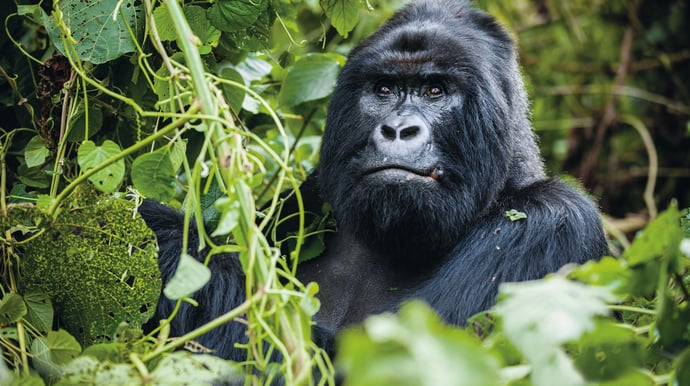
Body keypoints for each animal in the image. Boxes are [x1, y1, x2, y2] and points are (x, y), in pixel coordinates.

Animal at [137, 0, 604, 362]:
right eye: (384, 89)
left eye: (435, 91)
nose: (398, 130)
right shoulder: (312, 195)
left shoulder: (553, 223)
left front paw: (161, 233)